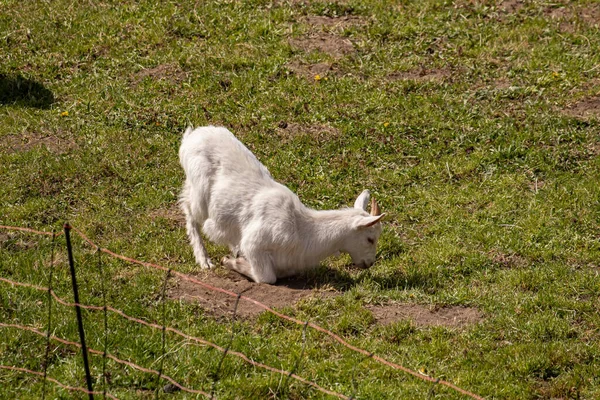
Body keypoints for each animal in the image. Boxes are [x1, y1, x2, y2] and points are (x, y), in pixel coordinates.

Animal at [178, 126, 384, 282]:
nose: (370, 263)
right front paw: (231, 262)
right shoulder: (255, 244)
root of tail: (191, 136)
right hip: (200, 194)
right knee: (189, 211)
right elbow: (267, 278)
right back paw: (204, 260)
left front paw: (235, 257)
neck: (303, 229)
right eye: (370, 239)